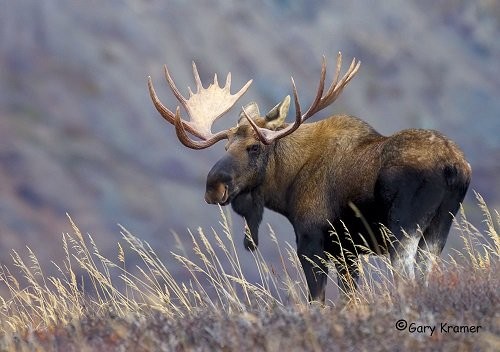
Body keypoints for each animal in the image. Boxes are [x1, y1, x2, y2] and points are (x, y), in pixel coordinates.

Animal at [146, 53, 470, 302]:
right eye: (225, 147)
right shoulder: (347, 252)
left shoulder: (312, 241)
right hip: (437, 230)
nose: (213, 187)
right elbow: (349, 300)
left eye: (254, 147)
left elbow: (318, 301)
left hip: (402, 230)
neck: (286, 187)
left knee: (406, 279)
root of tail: (454, 166)